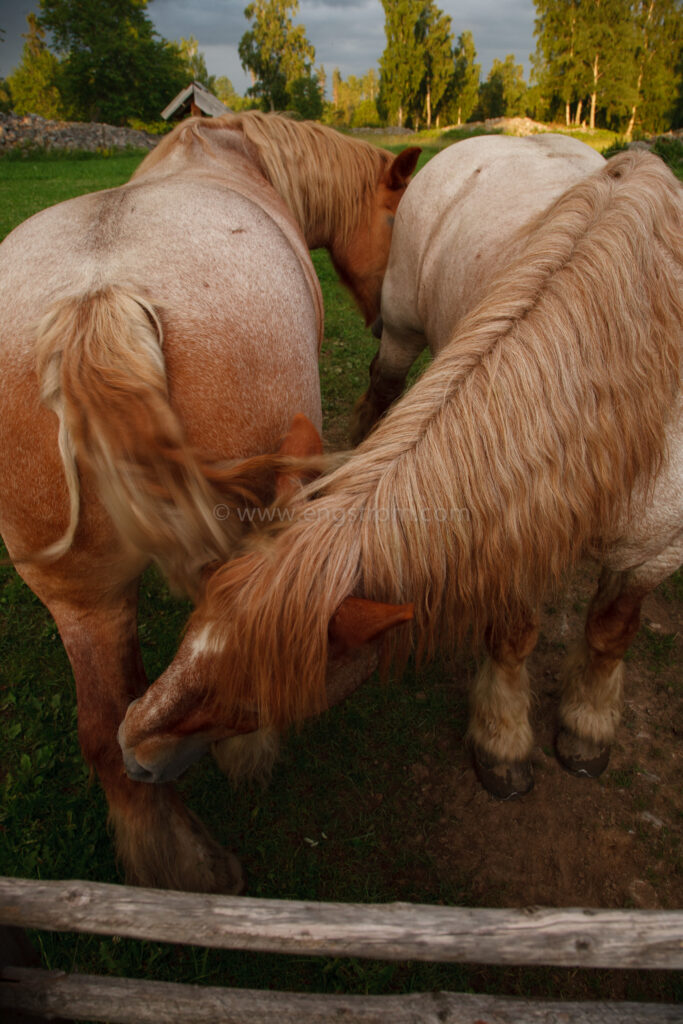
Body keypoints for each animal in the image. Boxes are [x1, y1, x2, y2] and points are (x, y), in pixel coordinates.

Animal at [0, 114, 419, 897]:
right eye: (392, 220)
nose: (385, 320)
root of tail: (95, 306)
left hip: (78, 596)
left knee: (106, 732)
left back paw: (181, 867)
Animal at [120, 149, 679, 806]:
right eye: (191, 627)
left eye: (255, 690)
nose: (131, 748)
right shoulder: (517, 542)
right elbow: (513, 638)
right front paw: (505, 740)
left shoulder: (652, 553)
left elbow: (610, 632)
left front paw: (587, 726)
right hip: (404, 330)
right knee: (384, 389)